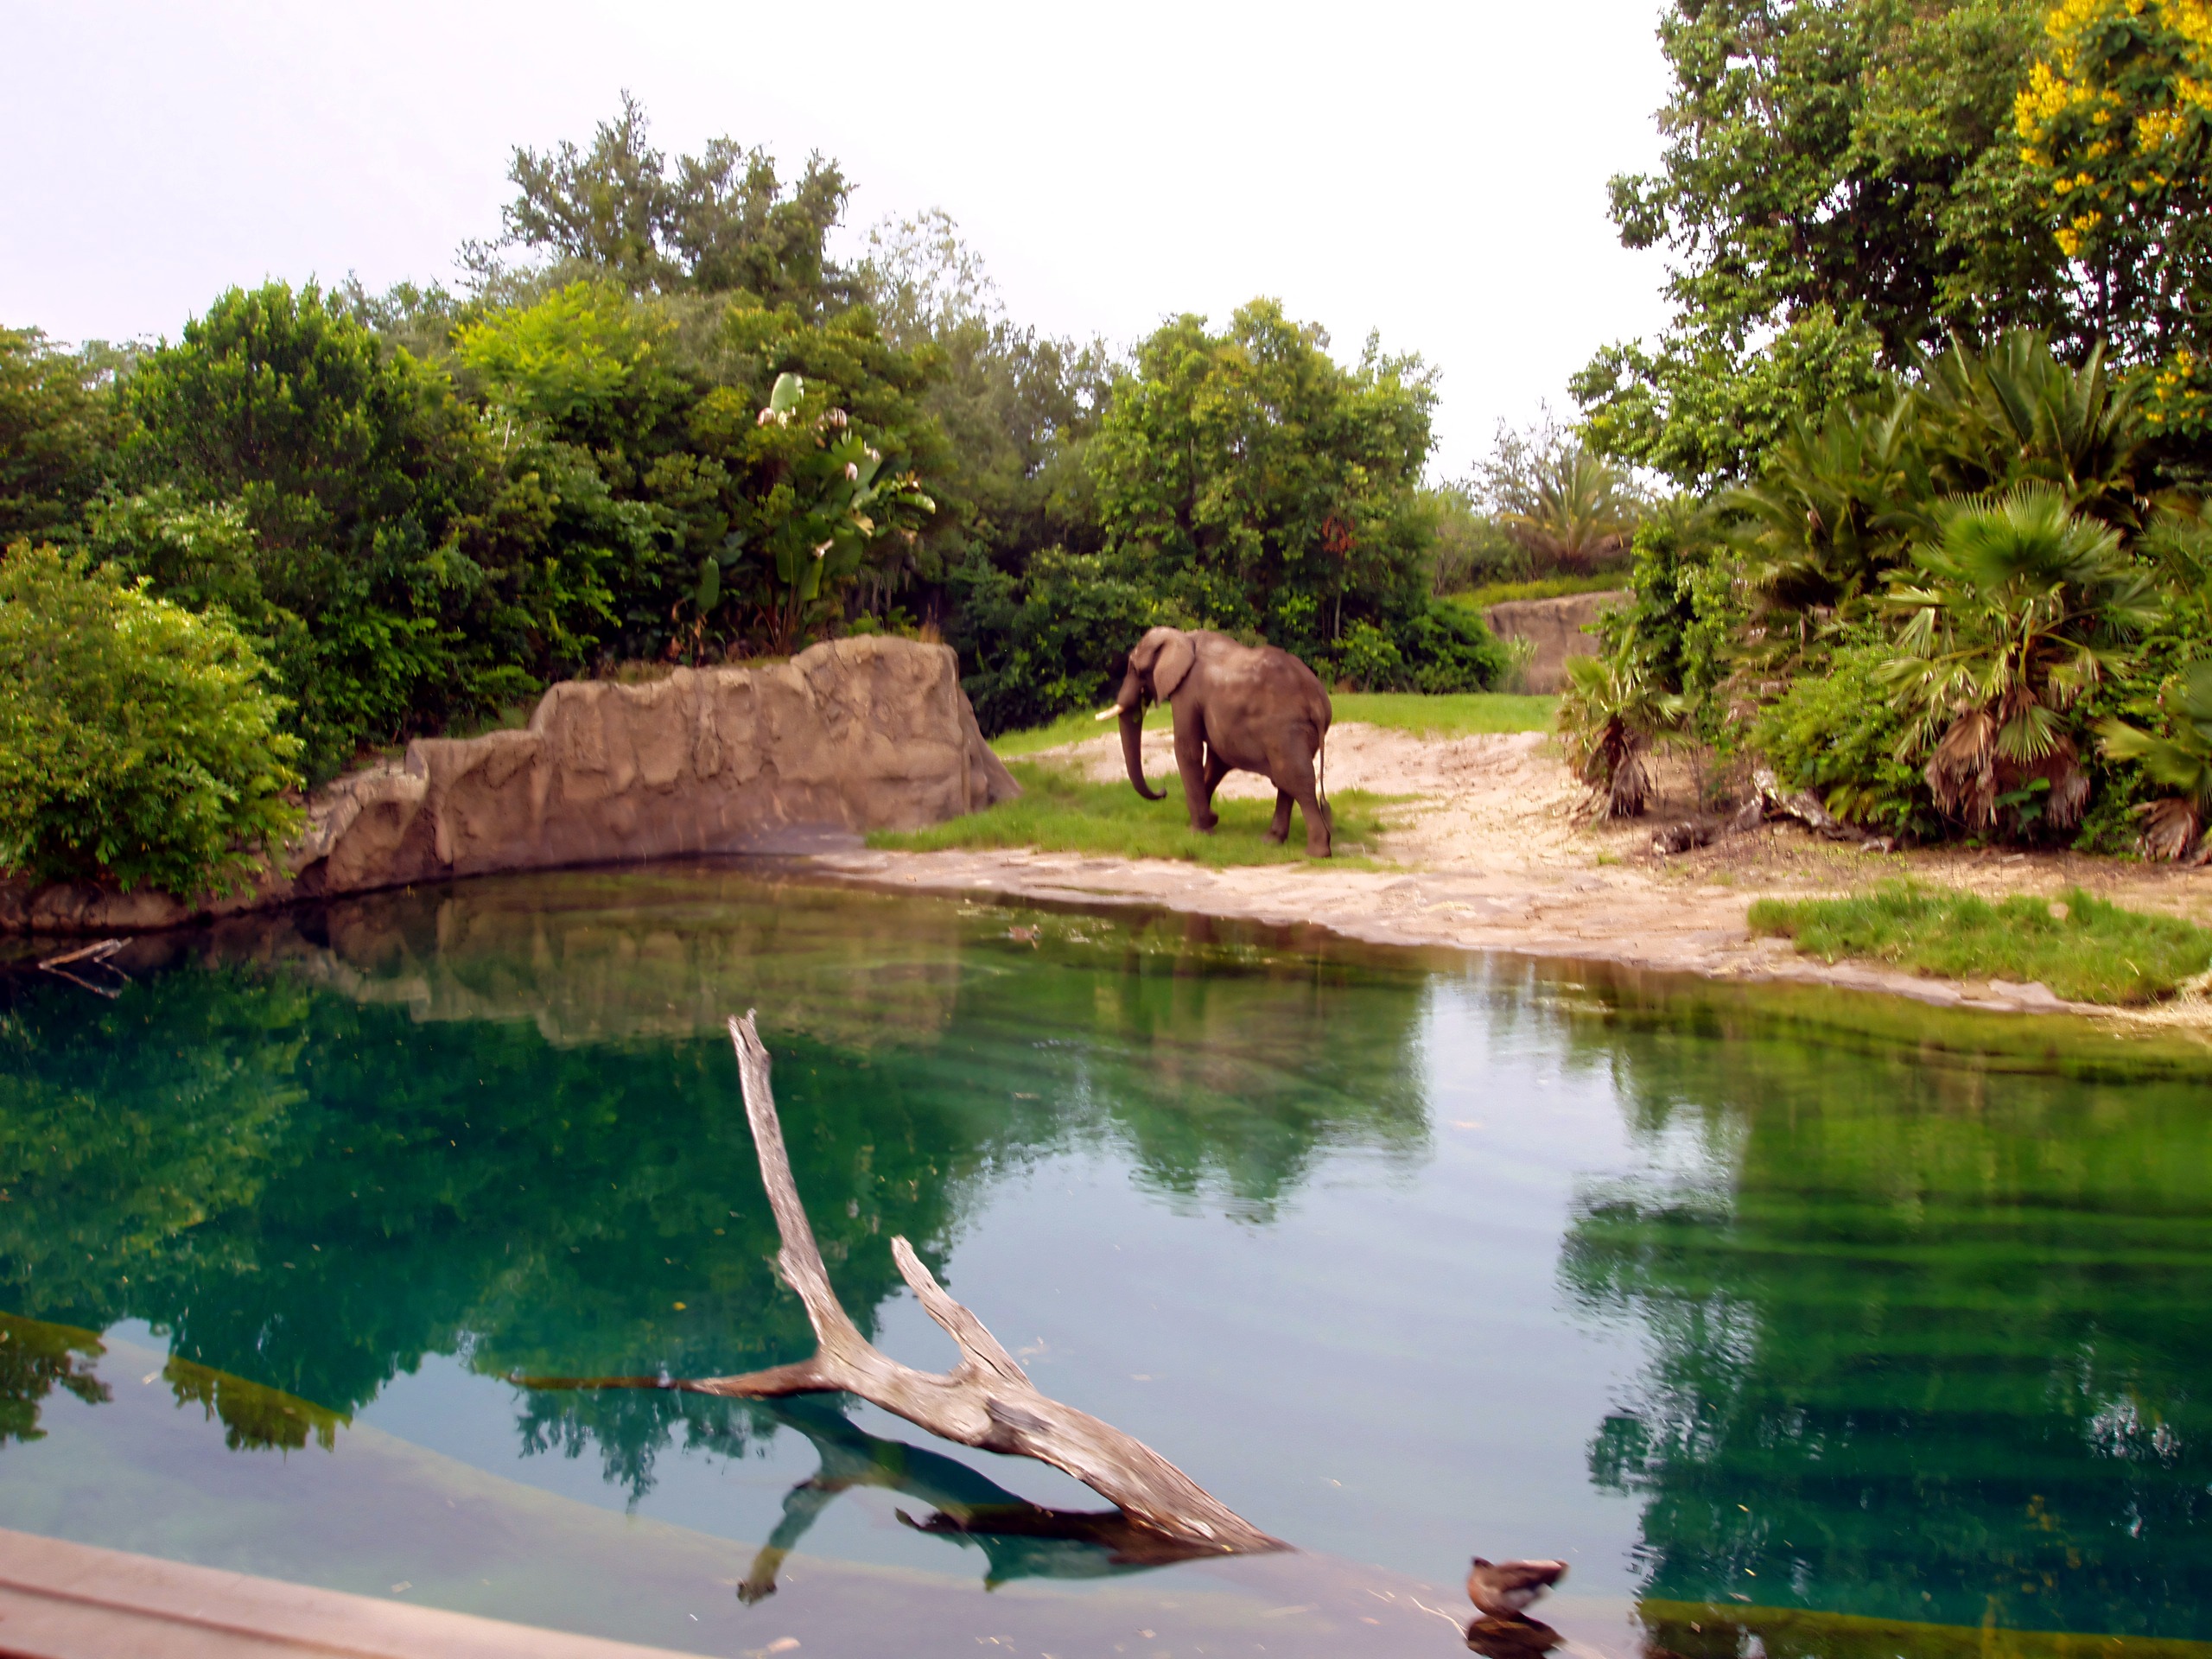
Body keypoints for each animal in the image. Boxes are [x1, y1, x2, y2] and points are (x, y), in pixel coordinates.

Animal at [1111, 626, 1334, 857]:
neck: (1183, 637)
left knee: (1296, 780)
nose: (1163, 791)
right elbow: (1217, 761)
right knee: (1286, 779)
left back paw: (1316, 852)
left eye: (1135, 669)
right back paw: (1271, 841)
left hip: (1286, 730)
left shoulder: (1186, 692)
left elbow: (1187, 749)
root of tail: (1317, 702)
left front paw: (1198, 832)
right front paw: (1210, 819)